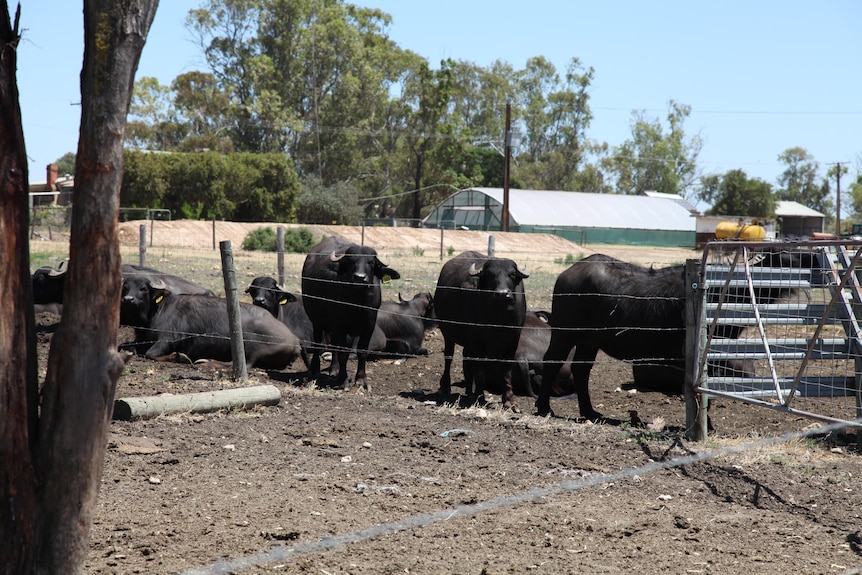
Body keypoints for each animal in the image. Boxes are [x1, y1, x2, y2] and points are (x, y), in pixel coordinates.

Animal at [118, 278, 300, 368]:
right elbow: (124, 346)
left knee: (244, 364)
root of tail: (294, 340)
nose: (128, 299)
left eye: (143, 289)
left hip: (250, 345)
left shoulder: (167, 340)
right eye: (125, 288)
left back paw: (207, 362)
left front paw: (180, 357)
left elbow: (151, 354)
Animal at [302, 237, 400, 392]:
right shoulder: (339, 324)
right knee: (318, 341)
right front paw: (343, 380)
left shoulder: (369, 324)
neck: (357, 302)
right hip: (315, 318)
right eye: (351, 261)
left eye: (371, 262)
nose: (359, 277)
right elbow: (343, 352)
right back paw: (315, 370)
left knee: (334, 345)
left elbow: (362, 351)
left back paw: (334, 370)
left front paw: (361, 380)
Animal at [436, 252, 528, 410]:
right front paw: (479, 397)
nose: (503, 294)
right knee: (449, 357)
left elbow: (506, 370)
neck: (498, 318)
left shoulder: (513, 340)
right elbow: (480, 370)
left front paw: (509, 400)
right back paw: (446, 387)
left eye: (512, 274)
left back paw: (468, 392)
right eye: (490, 274)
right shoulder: (476, 341)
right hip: (447, 333)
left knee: (466, 361)